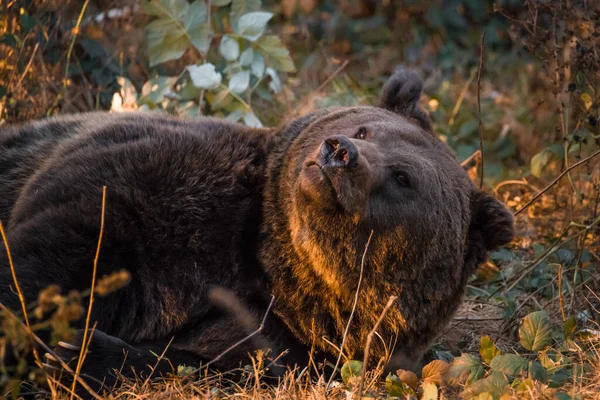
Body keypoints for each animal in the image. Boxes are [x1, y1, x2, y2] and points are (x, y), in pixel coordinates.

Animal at [0, 69, 512, 394]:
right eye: (366, 129)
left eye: (404, 177)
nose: (339, 152)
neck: (270, 260)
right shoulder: (158, 182)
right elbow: (60, 253)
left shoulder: (289, 345)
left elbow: (206, 365)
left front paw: (78, 353)